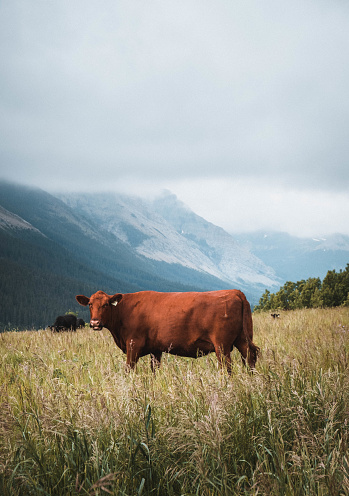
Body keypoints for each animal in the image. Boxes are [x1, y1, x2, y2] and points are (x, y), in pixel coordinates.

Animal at [75, 288, 258, 374]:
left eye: (106, 304)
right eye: (90, 304)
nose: (95, 322)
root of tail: (235, 292)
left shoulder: (133, 344)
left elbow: (129, 369)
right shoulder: (155, 349)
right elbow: (154, 370)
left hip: (222, 345)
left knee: (227, 367)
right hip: (243, 339)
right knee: (250, 357)